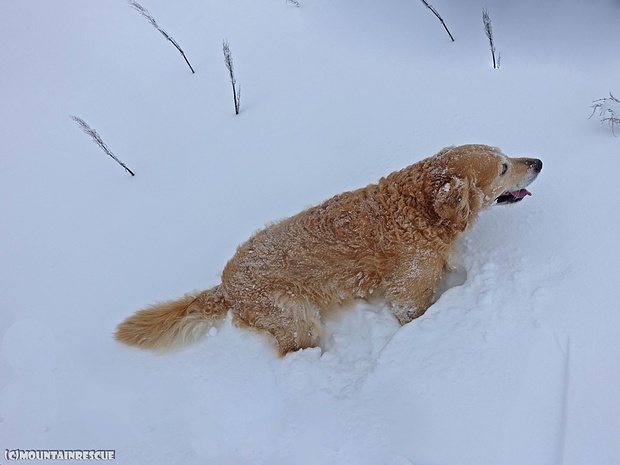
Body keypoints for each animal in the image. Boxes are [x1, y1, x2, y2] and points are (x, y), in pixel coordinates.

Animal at [114, 145, 540, 356]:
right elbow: (414, 314)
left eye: (506, 157)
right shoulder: (409, 294)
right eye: (503, 167)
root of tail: (225, 285)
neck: (419, 210)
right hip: (297, 320)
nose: (538, 161)